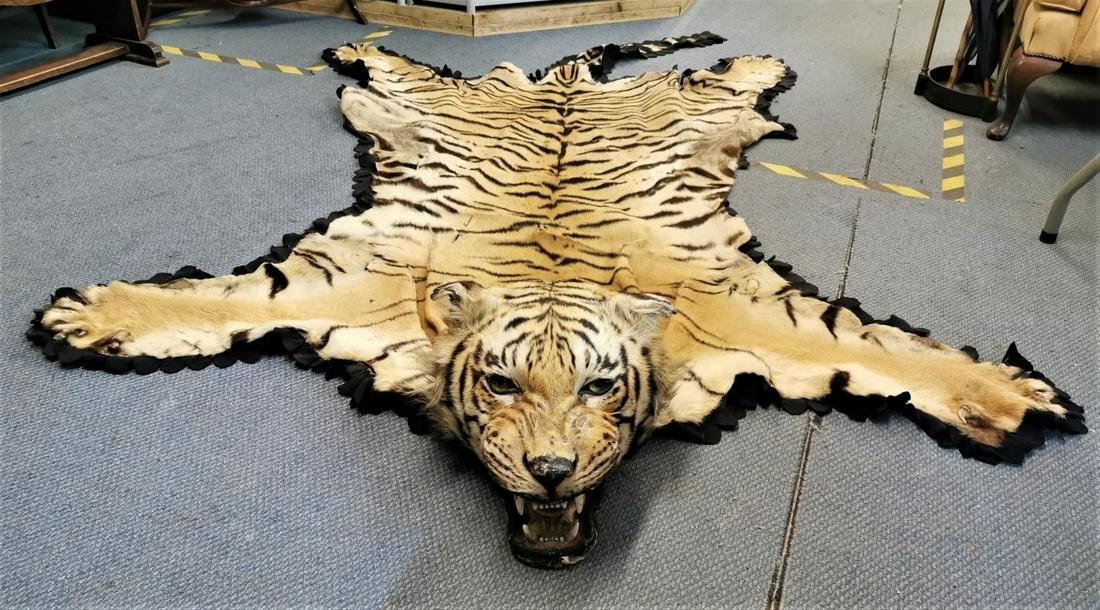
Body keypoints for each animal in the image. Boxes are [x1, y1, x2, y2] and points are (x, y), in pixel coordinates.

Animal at [31, 33, 1085, 569]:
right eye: (500, 386)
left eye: (599, 389)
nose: (548, 472)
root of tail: (562, 74)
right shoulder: (350, 280)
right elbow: (217, 302)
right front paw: (88, 319)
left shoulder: (748, 310)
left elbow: (879, 348)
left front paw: (1015, 399)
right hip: (409, 97)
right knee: (392, 59)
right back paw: (348, 38)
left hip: (698, 101)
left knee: (716, 71)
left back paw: (760, 62)